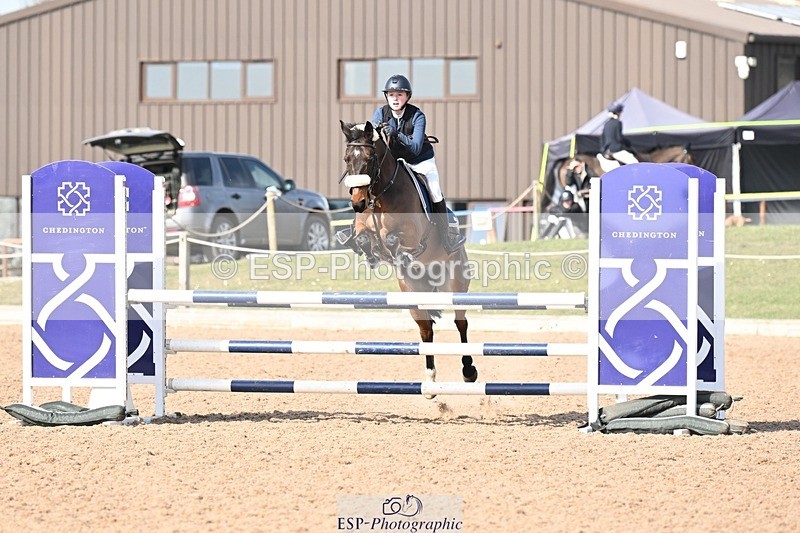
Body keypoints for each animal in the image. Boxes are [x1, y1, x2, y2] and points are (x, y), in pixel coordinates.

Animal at [339, 120, 476, 394]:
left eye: (370, 159)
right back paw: (430, 381)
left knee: (461, 322)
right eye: (348, 158)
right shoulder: (363, 228)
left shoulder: (414, 237)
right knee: (426, 329)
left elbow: (394, 239)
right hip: (411, 292)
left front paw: (394, 252)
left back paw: (469, 371)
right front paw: (372, 255)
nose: (357, 203)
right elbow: (363, 239)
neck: (380, 197)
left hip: (456, 284)